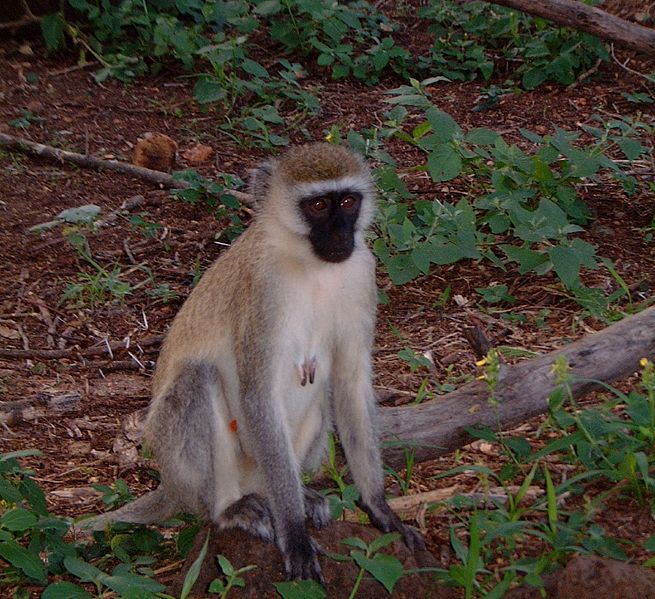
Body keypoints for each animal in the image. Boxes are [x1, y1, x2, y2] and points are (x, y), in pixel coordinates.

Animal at [83, 143, 425, 581]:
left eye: (348, 202)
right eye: (317, 205)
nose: (340, 236)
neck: (309, 264)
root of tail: (170, 486)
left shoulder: (362, 271)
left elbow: (349, 382)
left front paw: (381, 509)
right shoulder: (262, 290)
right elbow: (257, 393)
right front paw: (294, 533)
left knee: (321, 395)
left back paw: (296, 495)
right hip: (190, 469)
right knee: (198, 379)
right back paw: (230, 510)